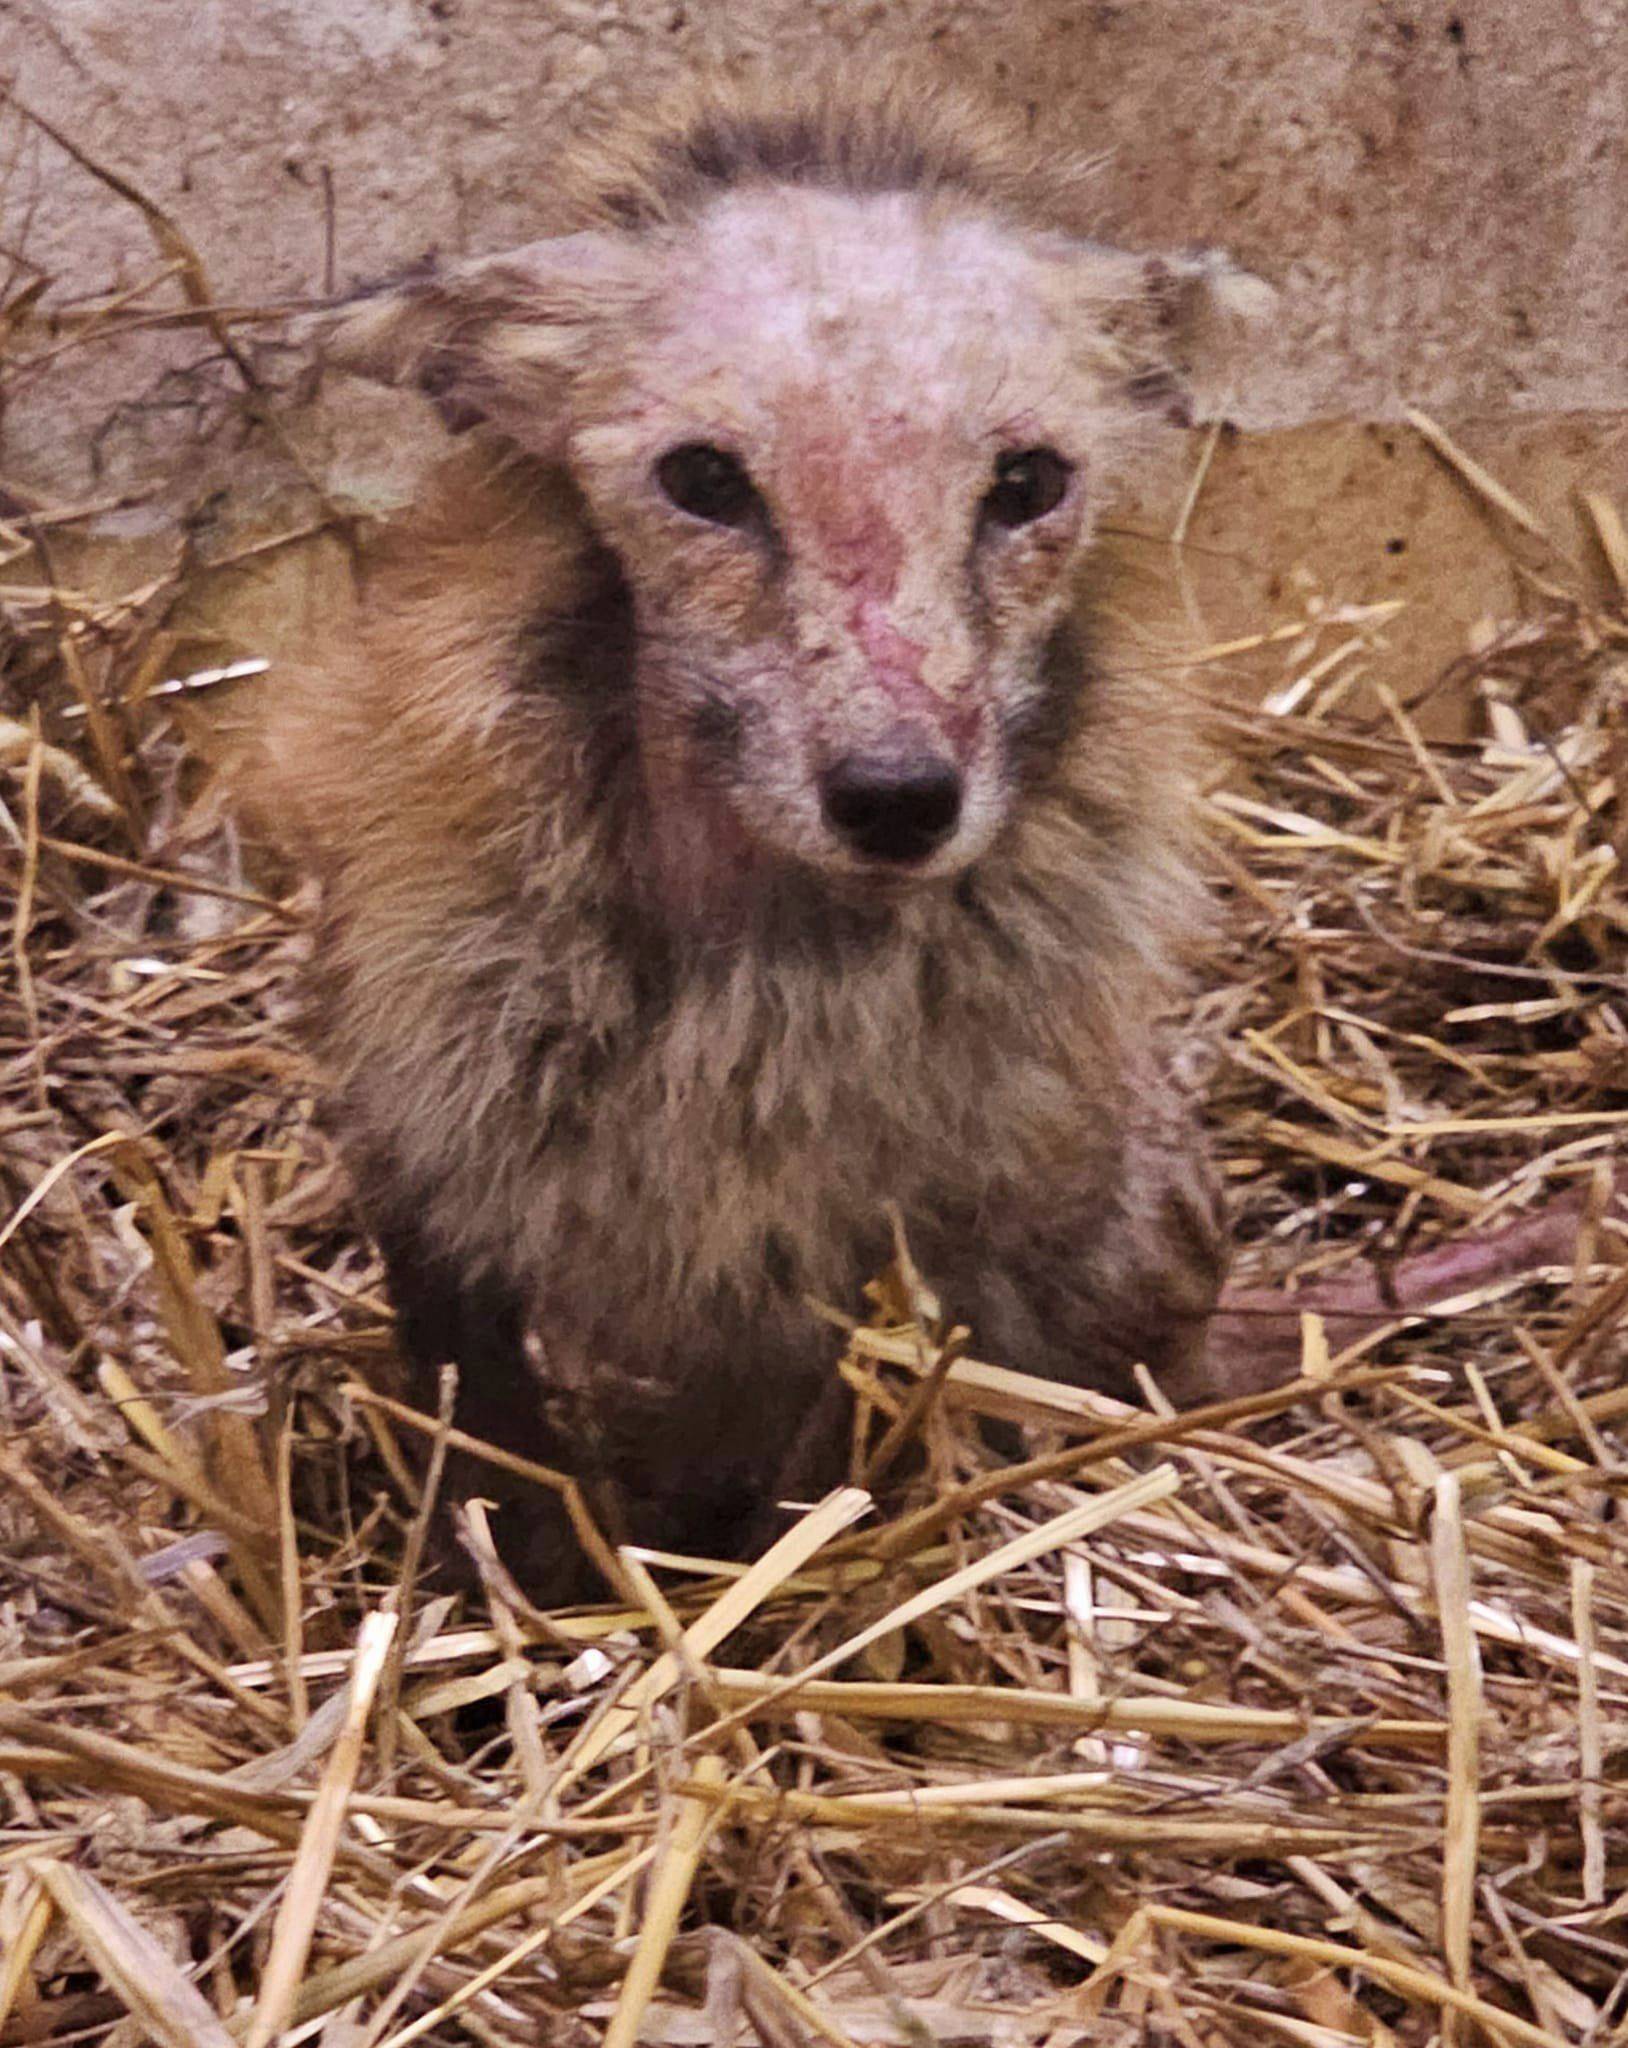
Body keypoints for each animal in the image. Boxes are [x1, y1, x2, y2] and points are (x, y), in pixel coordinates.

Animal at [258, 68, 1269, 1597]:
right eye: (704, 478)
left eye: (1027, 482)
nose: (898, 797)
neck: (755, 983)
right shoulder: (424, 1152)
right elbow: (494, 1454)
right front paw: (534, 1596)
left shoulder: (888, 1250)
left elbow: (809, 1478)